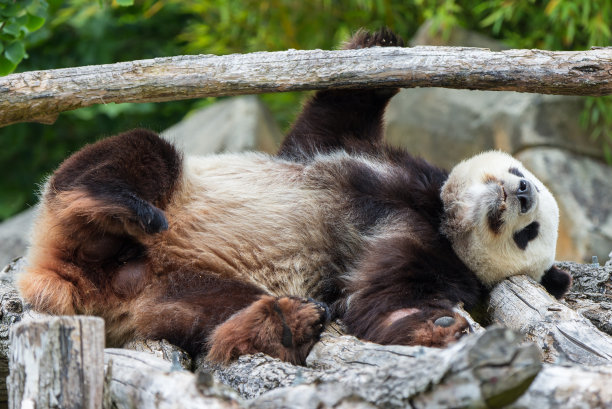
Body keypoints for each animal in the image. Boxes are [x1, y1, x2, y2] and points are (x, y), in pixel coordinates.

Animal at [19, 28, 572, 364]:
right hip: (162, 197)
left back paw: (284, 325)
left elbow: (378, 302)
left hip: (168, 295)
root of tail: (75, 279)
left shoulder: (436, 260)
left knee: (208, 310)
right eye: (519, 171)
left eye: (530, 233)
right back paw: (121, 207)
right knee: (133, 157)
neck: (439, 217)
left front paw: (437, 326)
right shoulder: (356, 157)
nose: (523, 192)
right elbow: (331, 119)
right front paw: (378, 47)